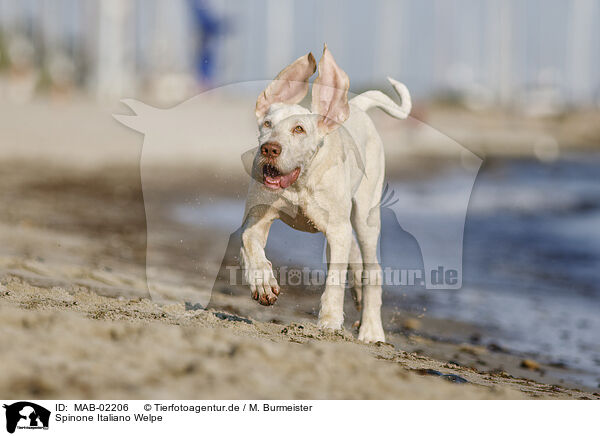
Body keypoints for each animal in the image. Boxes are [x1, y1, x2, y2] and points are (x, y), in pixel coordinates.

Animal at [239, 45, 412, 344]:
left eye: (299, 129)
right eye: (267, 124)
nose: (270, 149)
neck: (298, 185)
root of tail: (357, 108)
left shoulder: (336, 229)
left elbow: (334, 280)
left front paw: (330, 322)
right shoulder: (257, 217)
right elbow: (248, 241)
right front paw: (263, 284)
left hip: (365, 216)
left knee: (372, 268)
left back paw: (371, 330)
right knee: (353, 253)